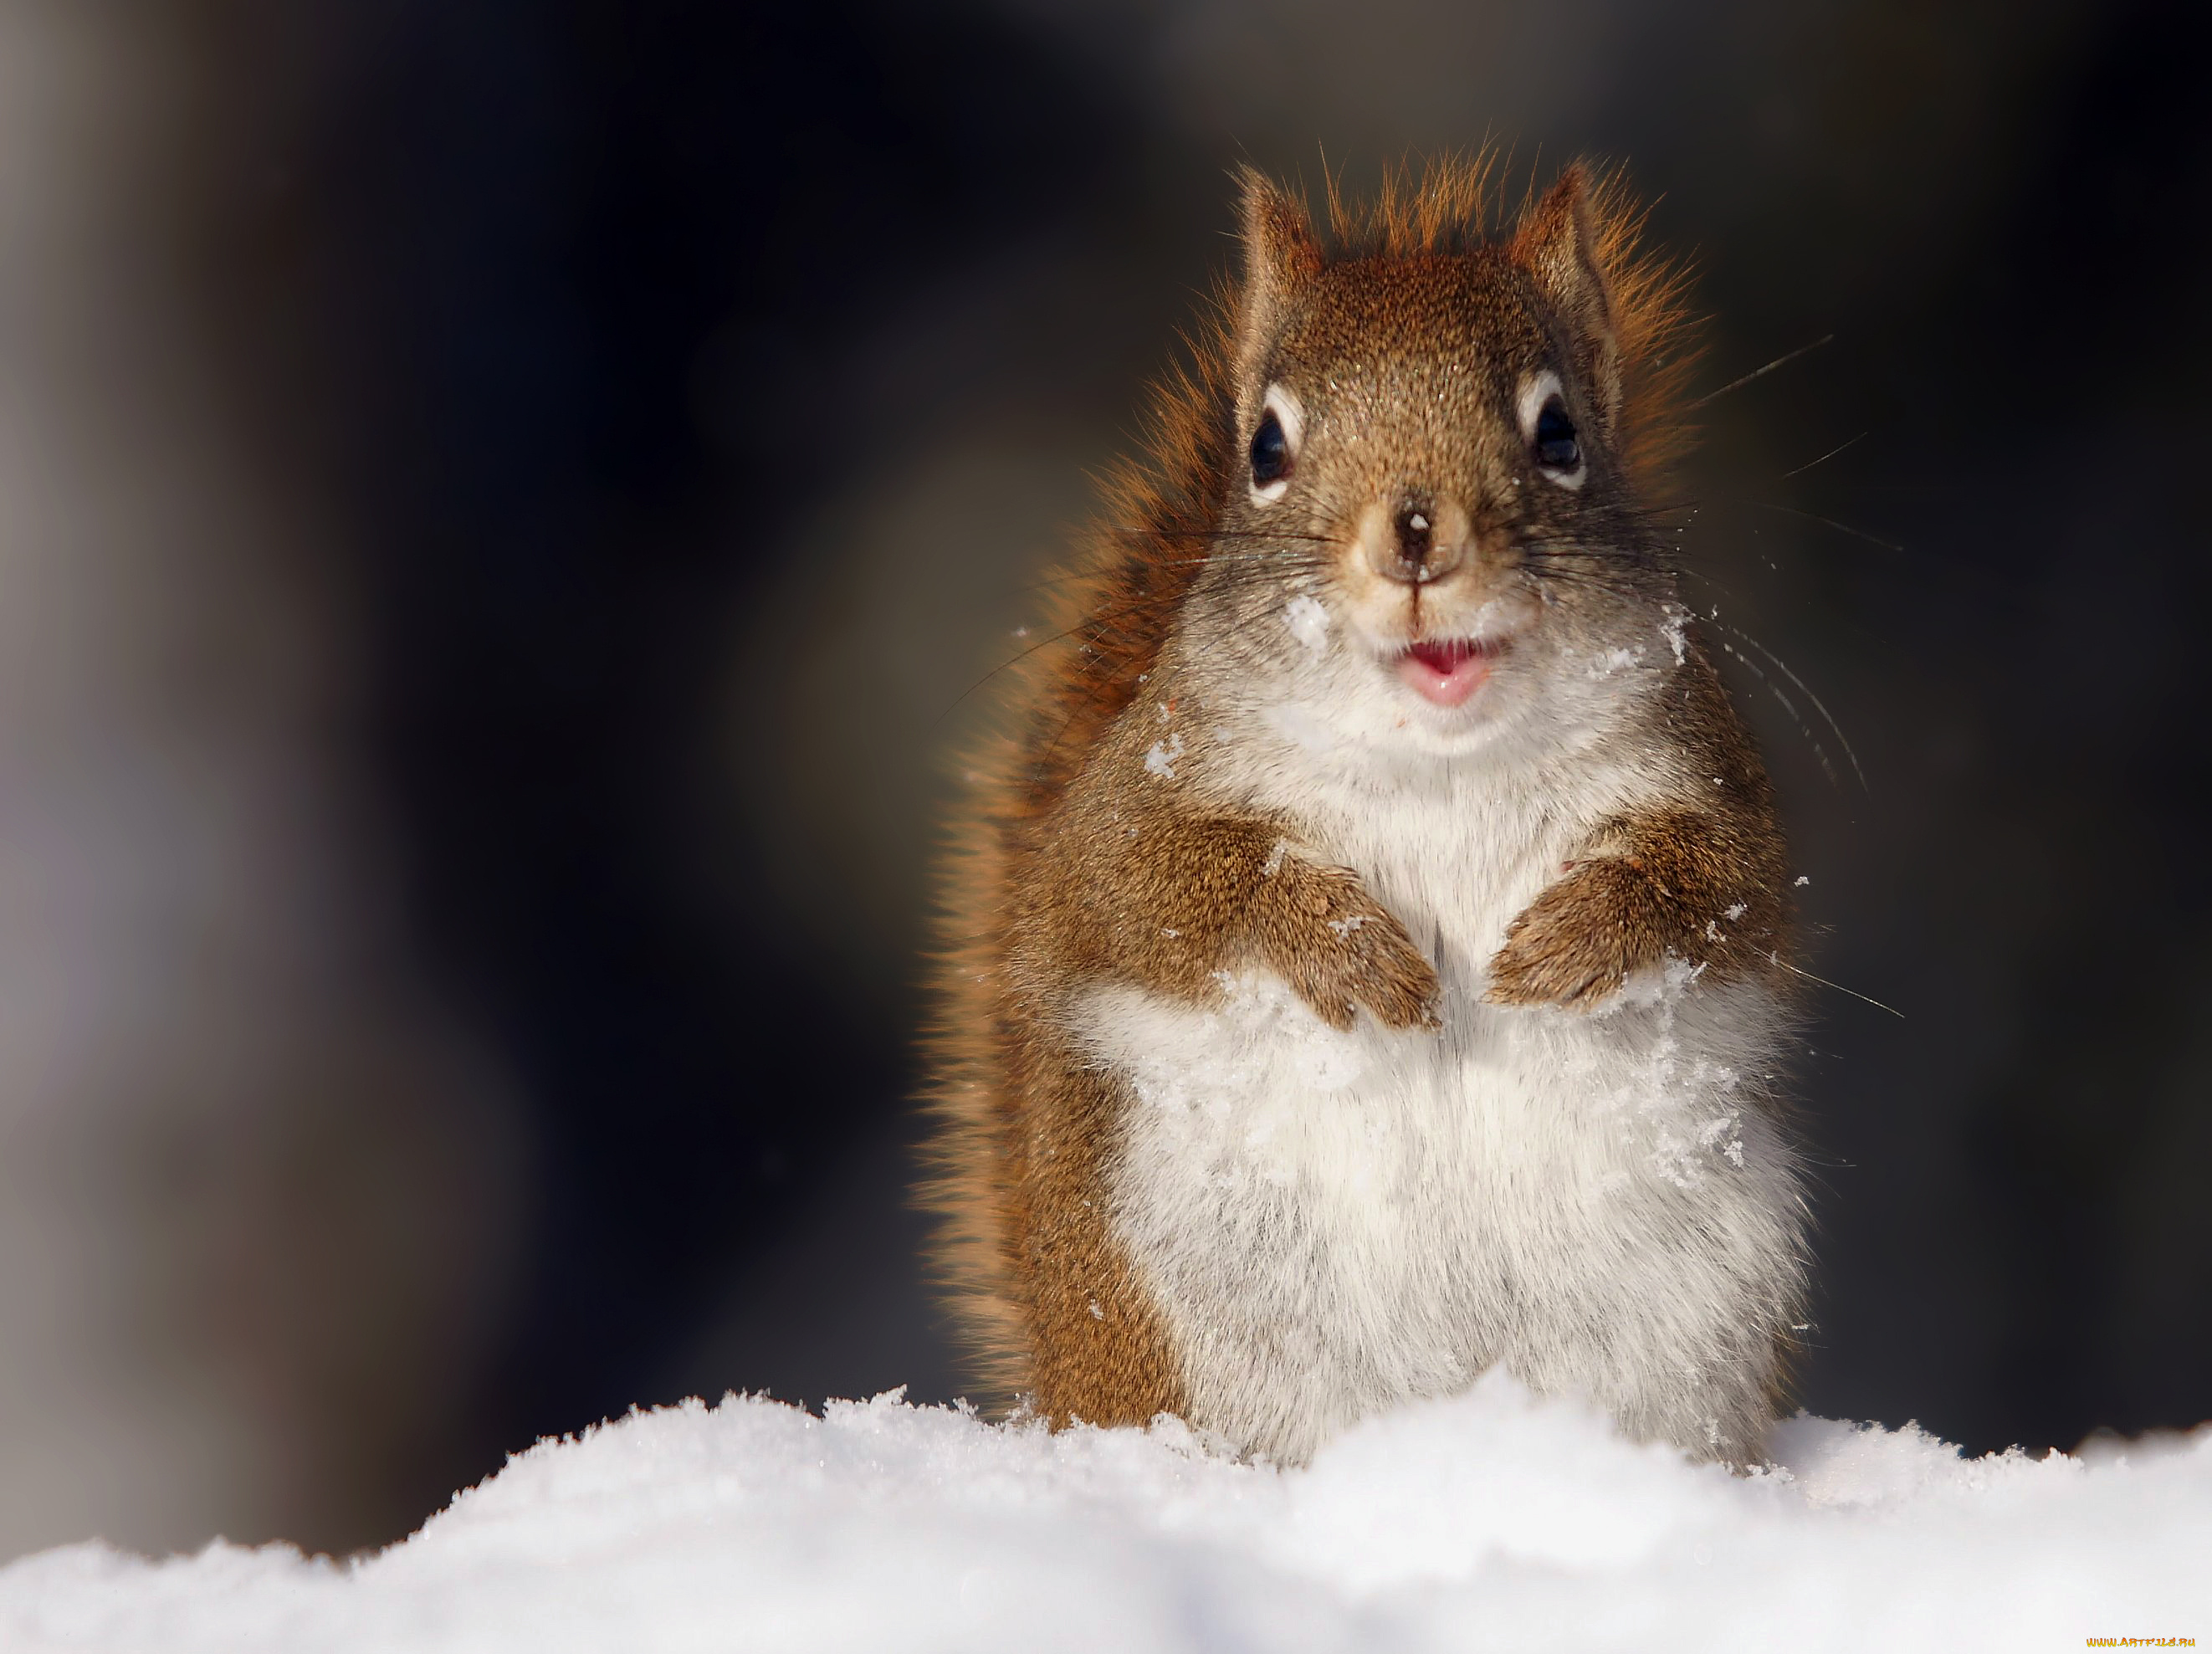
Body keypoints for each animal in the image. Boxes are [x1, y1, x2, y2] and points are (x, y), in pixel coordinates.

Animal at [924, 155, 1805, 1459]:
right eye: (1264, 447)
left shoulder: (1708, 774)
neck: (1437, 761)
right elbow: (1157, 896)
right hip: (1164, 1304)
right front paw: (1344, 947)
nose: (1417, 535)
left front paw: (1577, 934)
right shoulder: (1125, 814)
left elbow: (1721, 887)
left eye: (1560, 434)